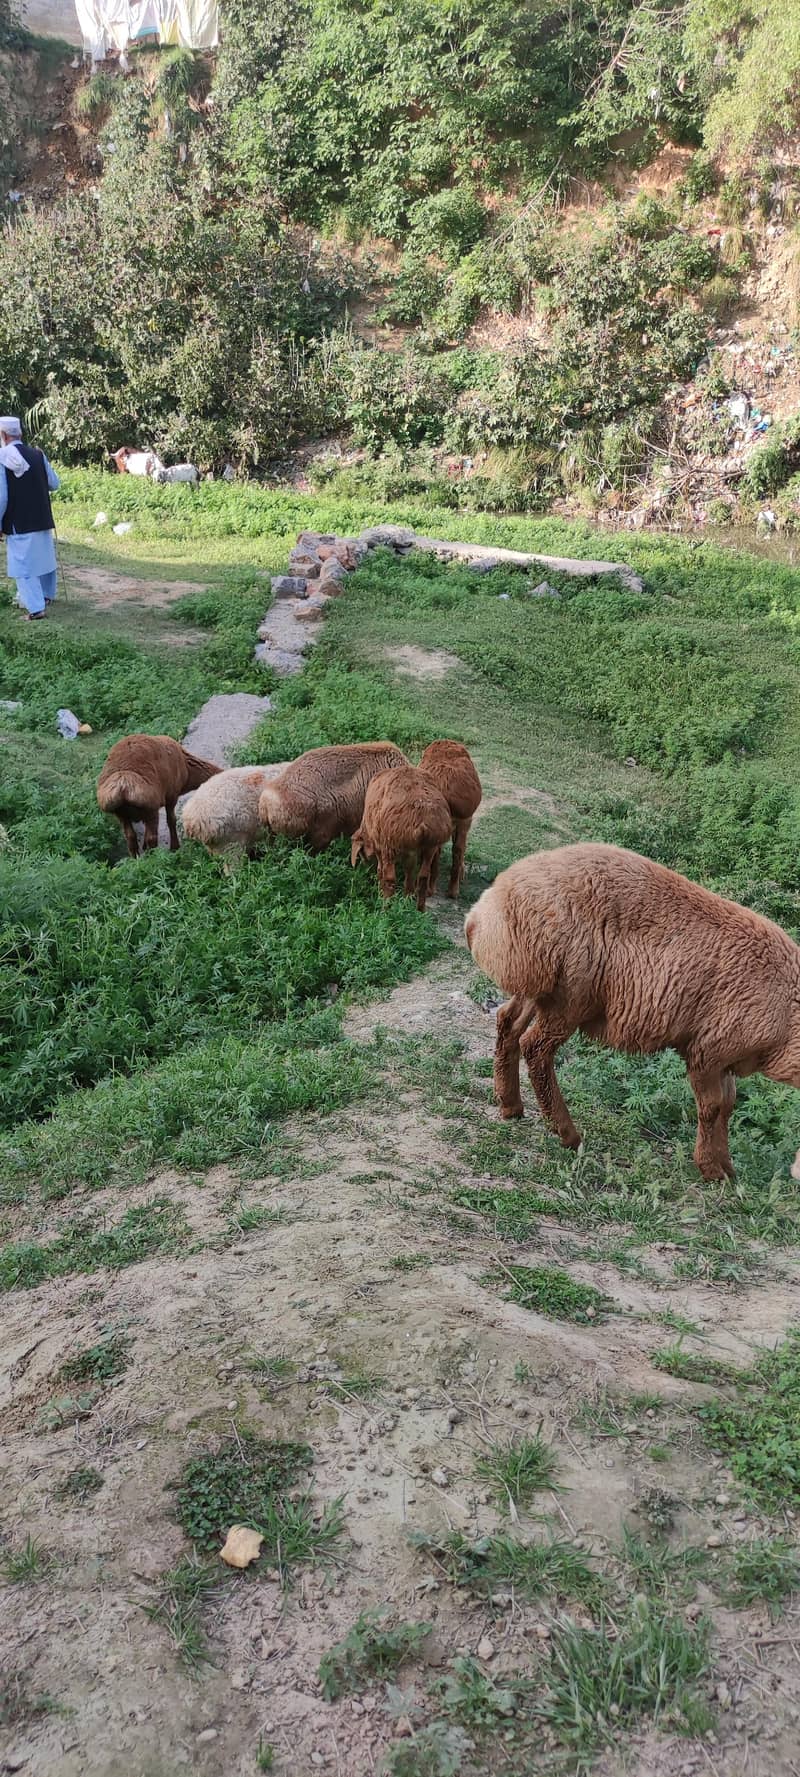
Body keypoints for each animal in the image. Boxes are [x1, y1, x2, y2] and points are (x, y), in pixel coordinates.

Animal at [351, 765, 453, 912]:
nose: (365, 871)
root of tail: (422, 822)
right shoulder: (411, 853)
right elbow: (409, 872)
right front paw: (407, 898)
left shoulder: (380, 847)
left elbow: (380, 871)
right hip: (430, 847)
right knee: (422, 876)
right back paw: (417, 908)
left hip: (389, 846)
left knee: (390, 879)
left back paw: (385, 908)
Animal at [418, 738, 482, 897]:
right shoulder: (465, 821)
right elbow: (459, 848)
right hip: (461, 821)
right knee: (455, 849)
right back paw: (449, 889)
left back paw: (433, 888)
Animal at [465, 841, 800, 1183]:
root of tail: (486, 911)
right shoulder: (707, 1051)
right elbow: (713, 1107)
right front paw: (711, 1168)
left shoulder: (727, 1057)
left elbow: (729, 1106)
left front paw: (727, 1169)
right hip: (571, 993)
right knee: (535, 1048)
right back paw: (567, 1133)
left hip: (540, 986)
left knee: (508, 1023)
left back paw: (511, 1105)